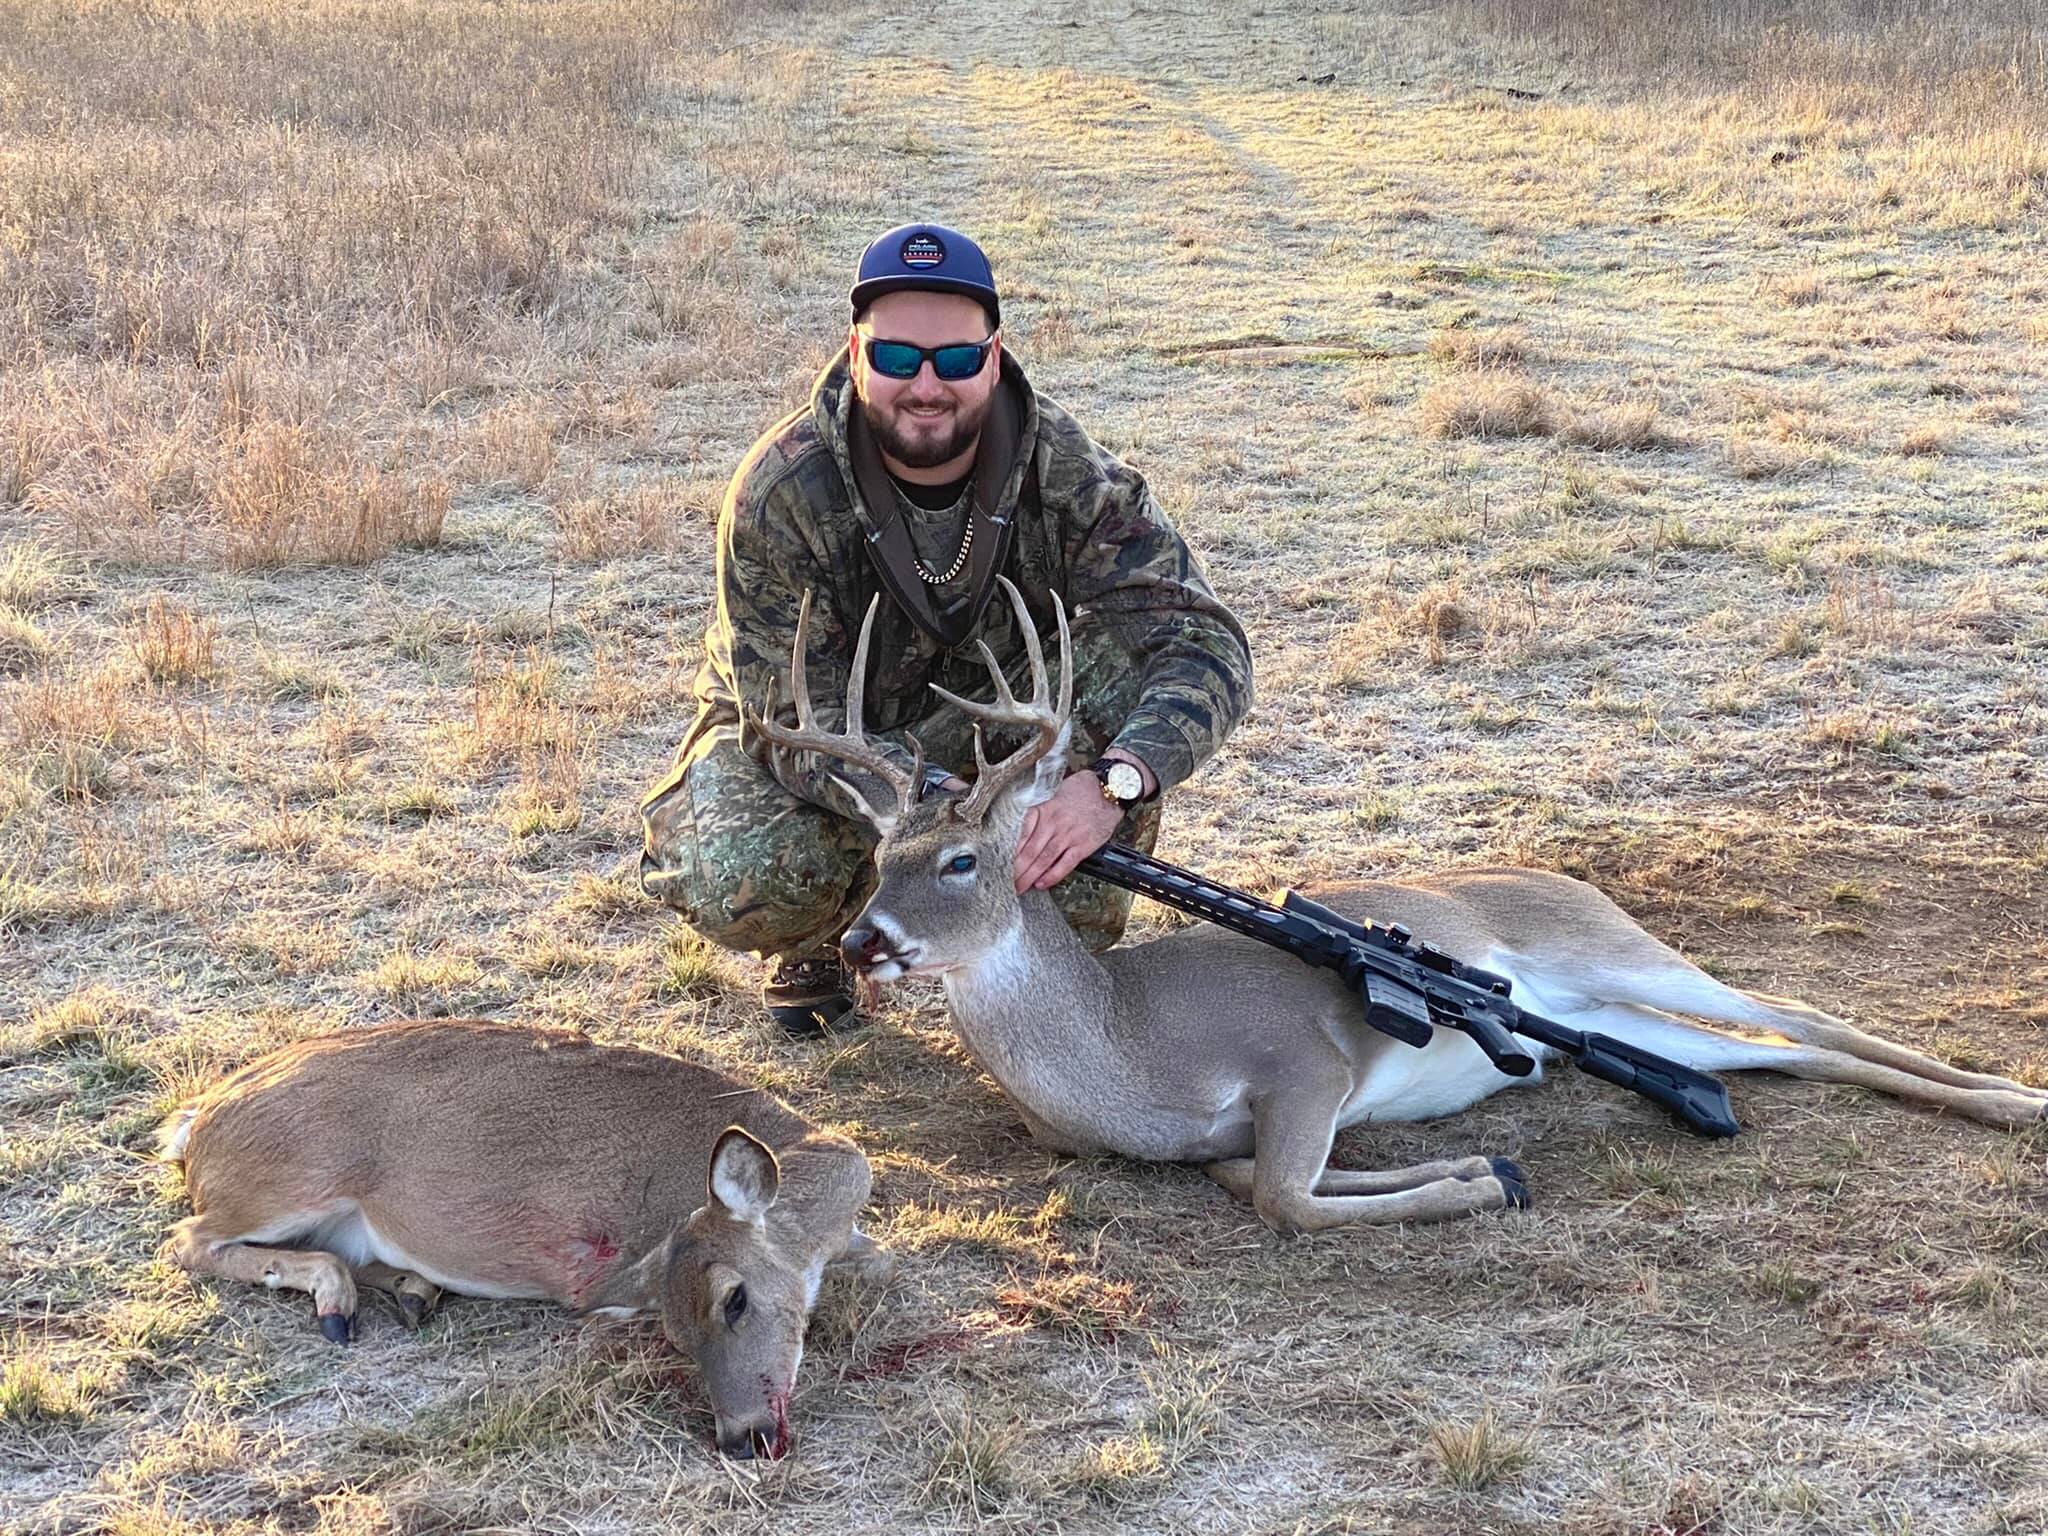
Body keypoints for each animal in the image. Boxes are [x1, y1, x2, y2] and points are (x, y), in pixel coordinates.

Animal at [158, 1018, 890, 1459]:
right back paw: (339, 1305)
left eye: (734, 1301)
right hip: (293, 1174)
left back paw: (411, 1291)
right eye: (679, 1333)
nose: (743, 1437)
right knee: (186, 1240)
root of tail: (196, 1122)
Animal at [749, 578, 2048, 1235]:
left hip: (1615, 950)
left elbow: (1285, 1199)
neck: (1122, 1053)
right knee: (1767, 1051)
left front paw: (1475, 1182)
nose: (863, 942)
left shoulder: (1305, 1060)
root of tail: (1563, 875)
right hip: (1608, 1023)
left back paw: (2012, 1097)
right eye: (878, 859)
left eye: (962, 862)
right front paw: (1483, 1167)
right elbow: (1251, 1184)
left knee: (1796, 1012)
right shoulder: (1232, 1134)